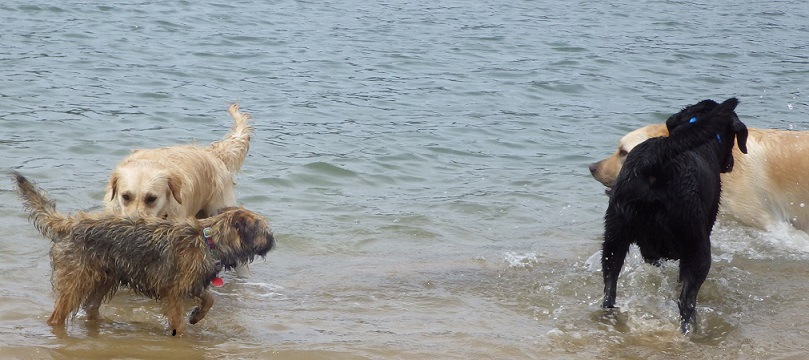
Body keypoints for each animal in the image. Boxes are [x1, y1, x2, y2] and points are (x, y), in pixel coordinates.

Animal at [12, 171, 274, 334]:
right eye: (263, 230)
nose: (273, 240)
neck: (207, 239)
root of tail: (72, 223)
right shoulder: (174, 292)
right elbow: (179, 318)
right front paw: (185, 334)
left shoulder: (191, 283)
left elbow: (209, 298)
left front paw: (197, 315)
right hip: (76, 280)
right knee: (60, 314)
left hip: (106, 279)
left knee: (90, 307)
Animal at [600, 97, 744, 334]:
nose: (730, 164)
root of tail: (653, 161)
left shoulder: (649, 251)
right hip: (697, 247)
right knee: (686, 302)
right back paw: (691, 330)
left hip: (614, 238)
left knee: (609, 289)